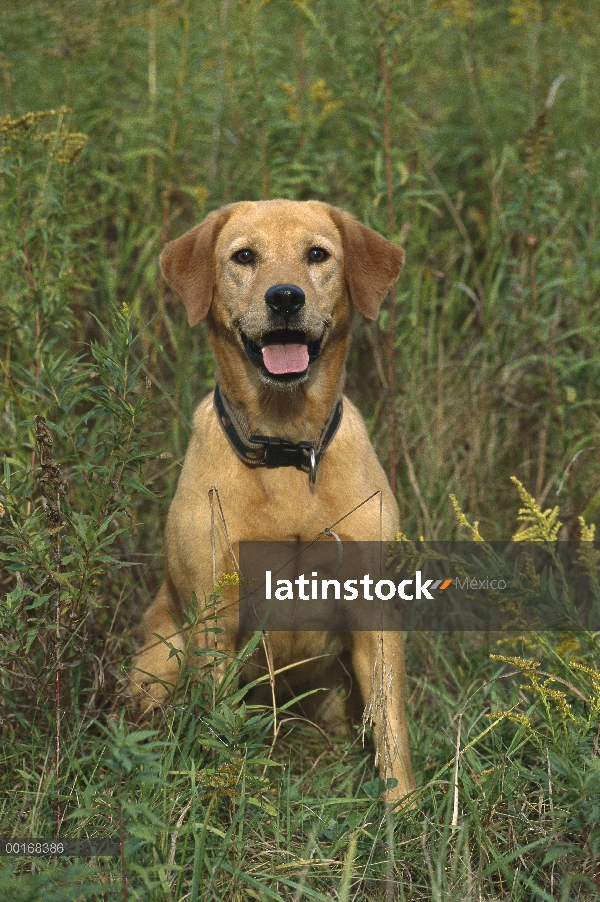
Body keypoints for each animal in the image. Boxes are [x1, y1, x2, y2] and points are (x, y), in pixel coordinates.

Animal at [129, 200, 414, 804]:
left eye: (317, 254)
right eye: (244, 256)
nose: (285, 297)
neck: (285, 452)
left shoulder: (374, 613)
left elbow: (391, 726)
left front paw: (405, 808)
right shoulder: (214, 614)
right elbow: (215, 719)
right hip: (161, 654)